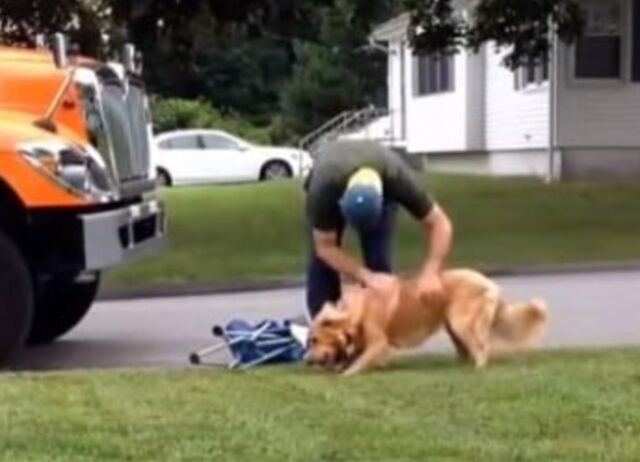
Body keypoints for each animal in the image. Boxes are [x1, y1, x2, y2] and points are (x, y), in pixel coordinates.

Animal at [308, 270, 548, 376]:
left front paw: (345, 374)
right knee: (467, 350)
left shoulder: (379, 343)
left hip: (461, 323)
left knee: (482, 347)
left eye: (314, 339)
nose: (307, 361)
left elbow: (357, 362)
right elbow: (353, 355)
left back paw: (477, 369)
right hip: (453, 326)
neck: (357, 310)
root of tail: (490, 283)